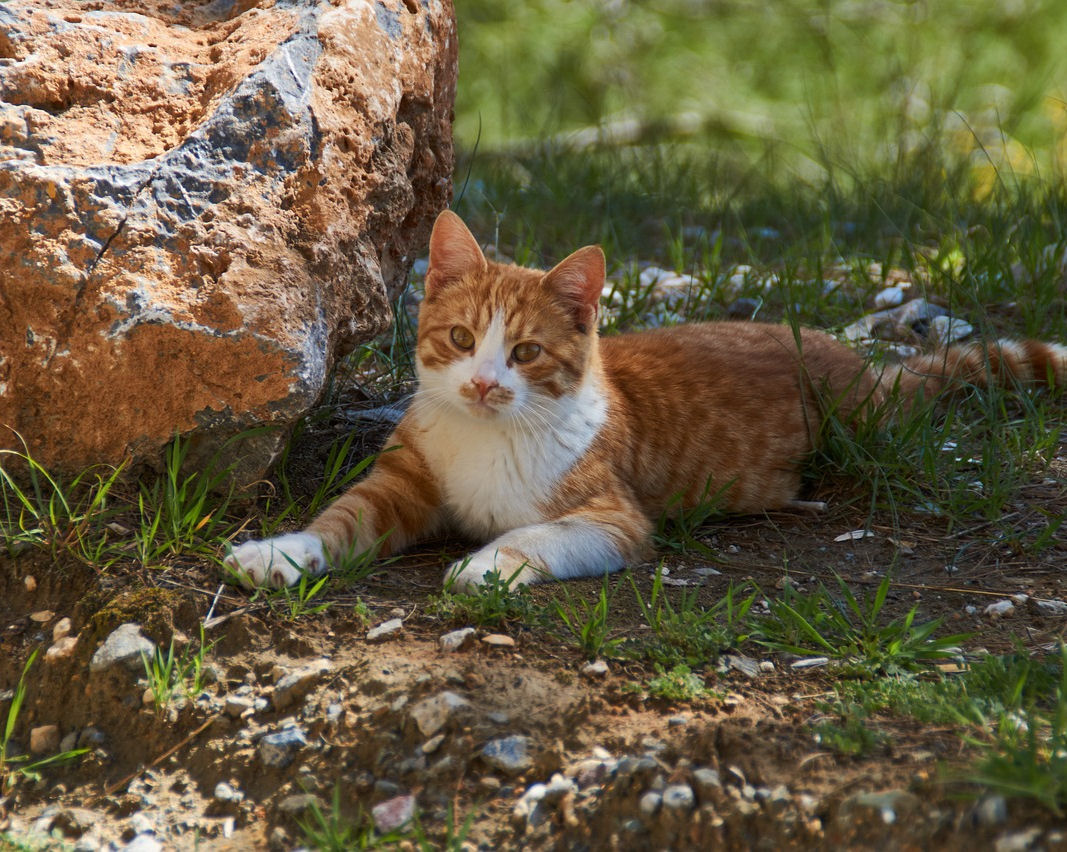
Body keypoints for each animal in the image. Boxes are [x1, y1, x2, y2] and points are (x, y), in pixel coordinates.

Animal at [225, 209, 1067, 588]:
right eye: (461, 338)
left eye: (525, 352)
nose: (483, 383)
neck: (491, 439)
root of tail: (854, 361)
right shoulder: (402, 482)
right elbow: (339, 518)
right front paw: (282, 551)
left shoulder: (613, 518)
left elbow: (532, 535)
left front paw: (485, 565)